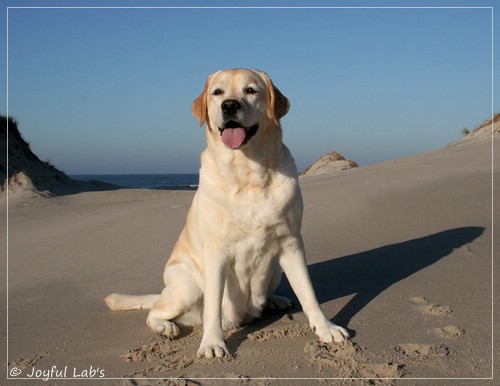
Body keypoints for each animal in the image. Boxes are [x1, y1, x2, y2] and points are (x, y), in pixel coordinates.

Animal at [104, 68, 348, 358]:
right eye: (217, 92)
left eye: (251, 90)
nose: (229, 106)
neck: (248, 173)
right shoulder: (216, 252)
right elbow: (213, 307)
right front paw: (212, 343)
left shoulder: (291, 243)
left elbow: (308, 292)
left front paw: (326, 328)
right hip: (186, 284)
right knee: (155, 311)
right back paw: (166, 326)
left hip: (276, 270)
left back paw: (275, 300)